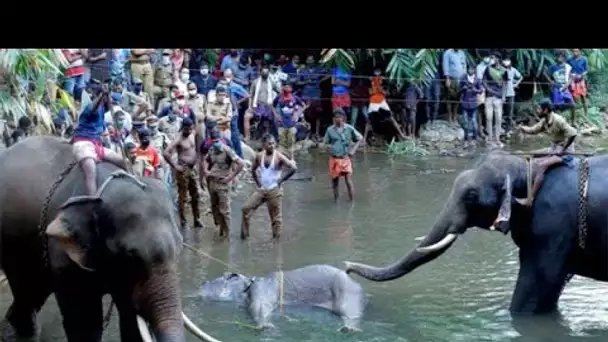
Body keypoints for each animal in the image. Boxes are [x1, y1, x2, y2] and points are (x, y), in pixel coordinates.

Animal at [0, 136, 217, 342]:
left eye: (179, 249)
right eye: (131, 257)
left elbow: (131, 322)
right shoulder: (63, 254)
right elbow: (85, 325)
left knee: (32, 293)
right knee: (26, 289)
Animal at [198, 264, 366, 332]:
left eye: (221, 278)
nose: (202, 283)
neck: (248, 285)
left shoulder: (260, 290)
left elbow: (260, 307)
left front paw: (265, 325)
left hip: (347, 292)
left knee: (351, 312)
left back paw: (349, 328)